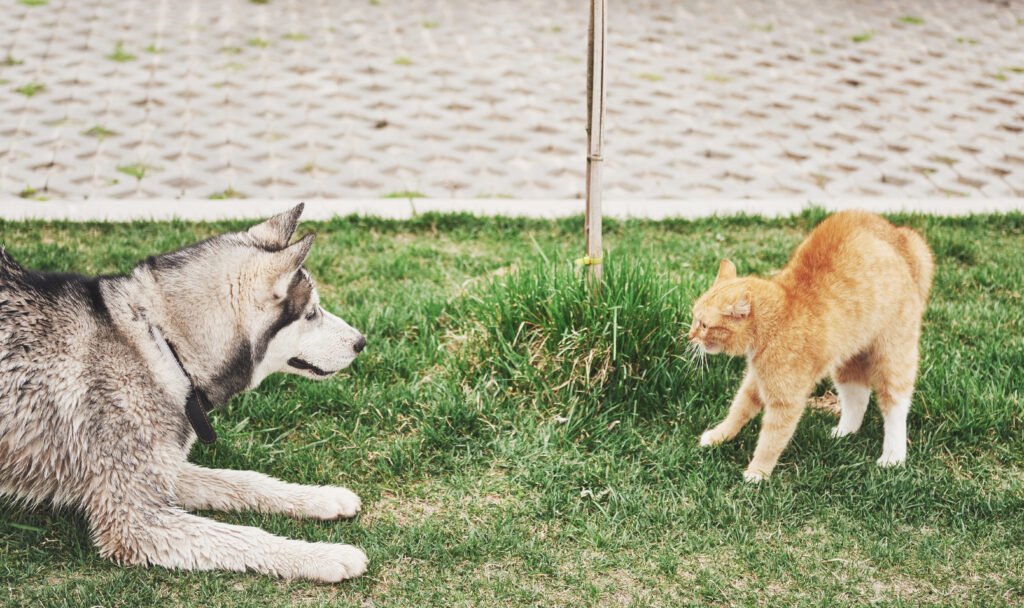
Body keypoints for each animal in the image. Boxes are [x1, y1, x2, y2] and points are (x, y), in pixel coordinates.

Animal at [0, 204, 368, 581]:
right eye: (311, 314)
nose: (361, 342)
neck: (164, 347)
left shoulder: (164, 468)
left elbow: (244, 481)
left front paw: (320, 498)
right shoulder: (134, 521)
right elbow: (243, 537)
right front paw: (324, 555)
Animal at [692, 210, 933, 481]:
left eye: (703, 325)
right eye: (694, 318)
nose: (690, 336)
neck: (781, 315)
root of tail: (901, 237)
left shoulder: (785, 401)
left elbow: (771, 440)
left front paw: (758, 472)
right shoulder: (756, 382)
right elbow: (738, 410)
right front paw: (719, 436)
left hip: (893, 355)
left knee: (895, 406)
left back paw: (893, 457)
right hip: (848, 357)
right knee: (857, 395)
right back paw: (845, 432)